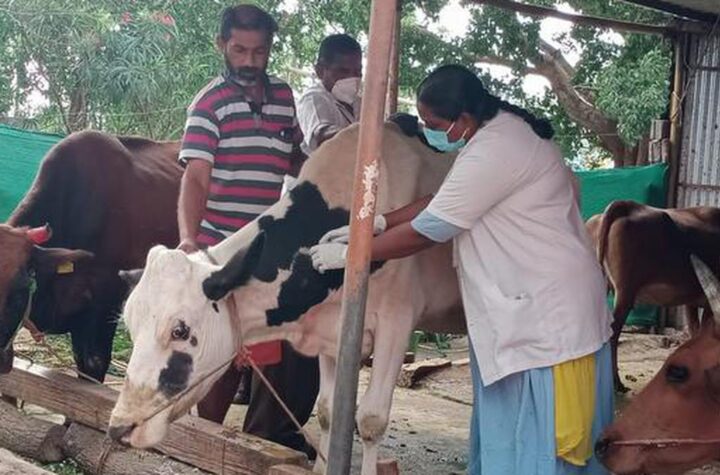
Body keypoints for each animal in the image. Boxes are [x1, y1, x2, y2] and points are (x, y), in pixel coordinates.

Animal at [108, 122, 466, 475]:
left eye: (180, 330)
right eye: (131, 328)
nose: (120, 427)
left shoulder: (397, 321)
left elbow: (370, 420)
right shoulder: (331, 329)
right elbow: (328, 411)